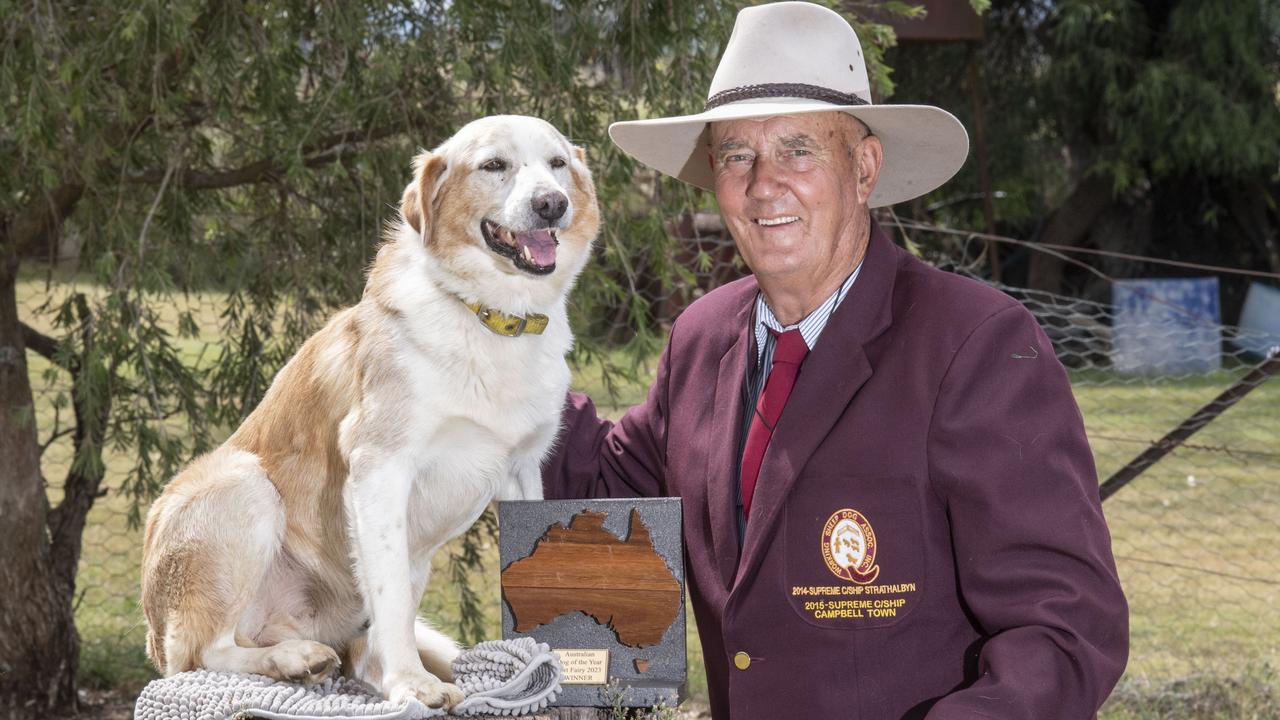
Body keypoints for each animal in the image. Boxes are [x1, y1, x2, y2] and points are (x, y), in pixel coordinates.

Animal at [142, 113, 601, 707]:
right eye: (494, 165)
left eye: (557, 164)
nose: (551, 204)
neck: (491, 316)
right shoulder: (380, 467)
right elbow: (389, 593)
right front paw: (411, 684)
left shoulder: (523, 473)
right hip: (243, 486)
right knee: (206, 652)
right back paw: (292, 659)